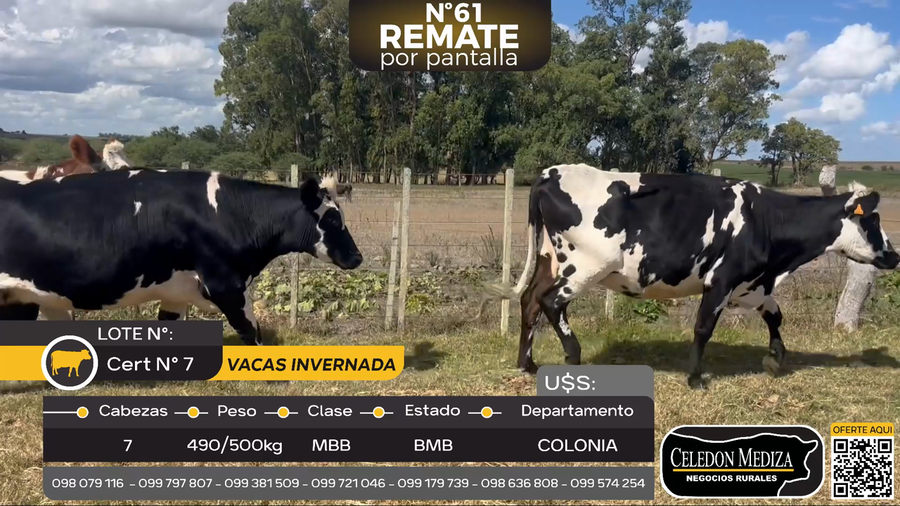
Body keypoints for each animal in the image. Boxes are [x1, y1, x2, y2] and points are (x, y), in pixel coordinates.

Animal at [0, 169, 362, 345]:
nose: (357, 257)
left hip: (24, 298)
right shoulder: (225, 284)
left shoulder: (177, 292)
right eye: (332, 220)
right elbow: (252, 332)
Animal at [482, 164, 899, 389]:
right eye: (872, 220)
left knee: (529, 301)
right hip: (585, 266)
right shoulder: (723, 280)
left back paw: (527, 364)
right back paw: (574, 356)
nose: (894, 255)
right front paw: (696, 377)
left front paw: (776, 358)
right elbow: (703, 328)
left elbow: (776, 315)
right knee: (551, 302)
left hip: (550, 260)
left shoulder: (753, 283)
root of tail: (552, 172)